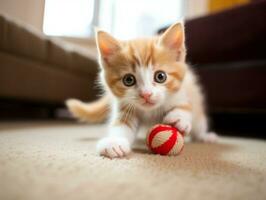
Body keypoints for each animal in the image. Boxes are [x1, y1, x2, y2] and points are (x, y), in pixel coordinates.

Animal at [66, 22, 216, 159]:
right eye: (128, 80)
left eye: (160, 76)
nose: (146, 94)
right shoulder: (125, 106)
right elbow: (122, 125)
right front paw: (114, 142)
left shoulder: (182, 91)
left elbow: (184, 106)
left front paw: (178, 119)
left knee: (199, 122)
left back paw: (204, 137)